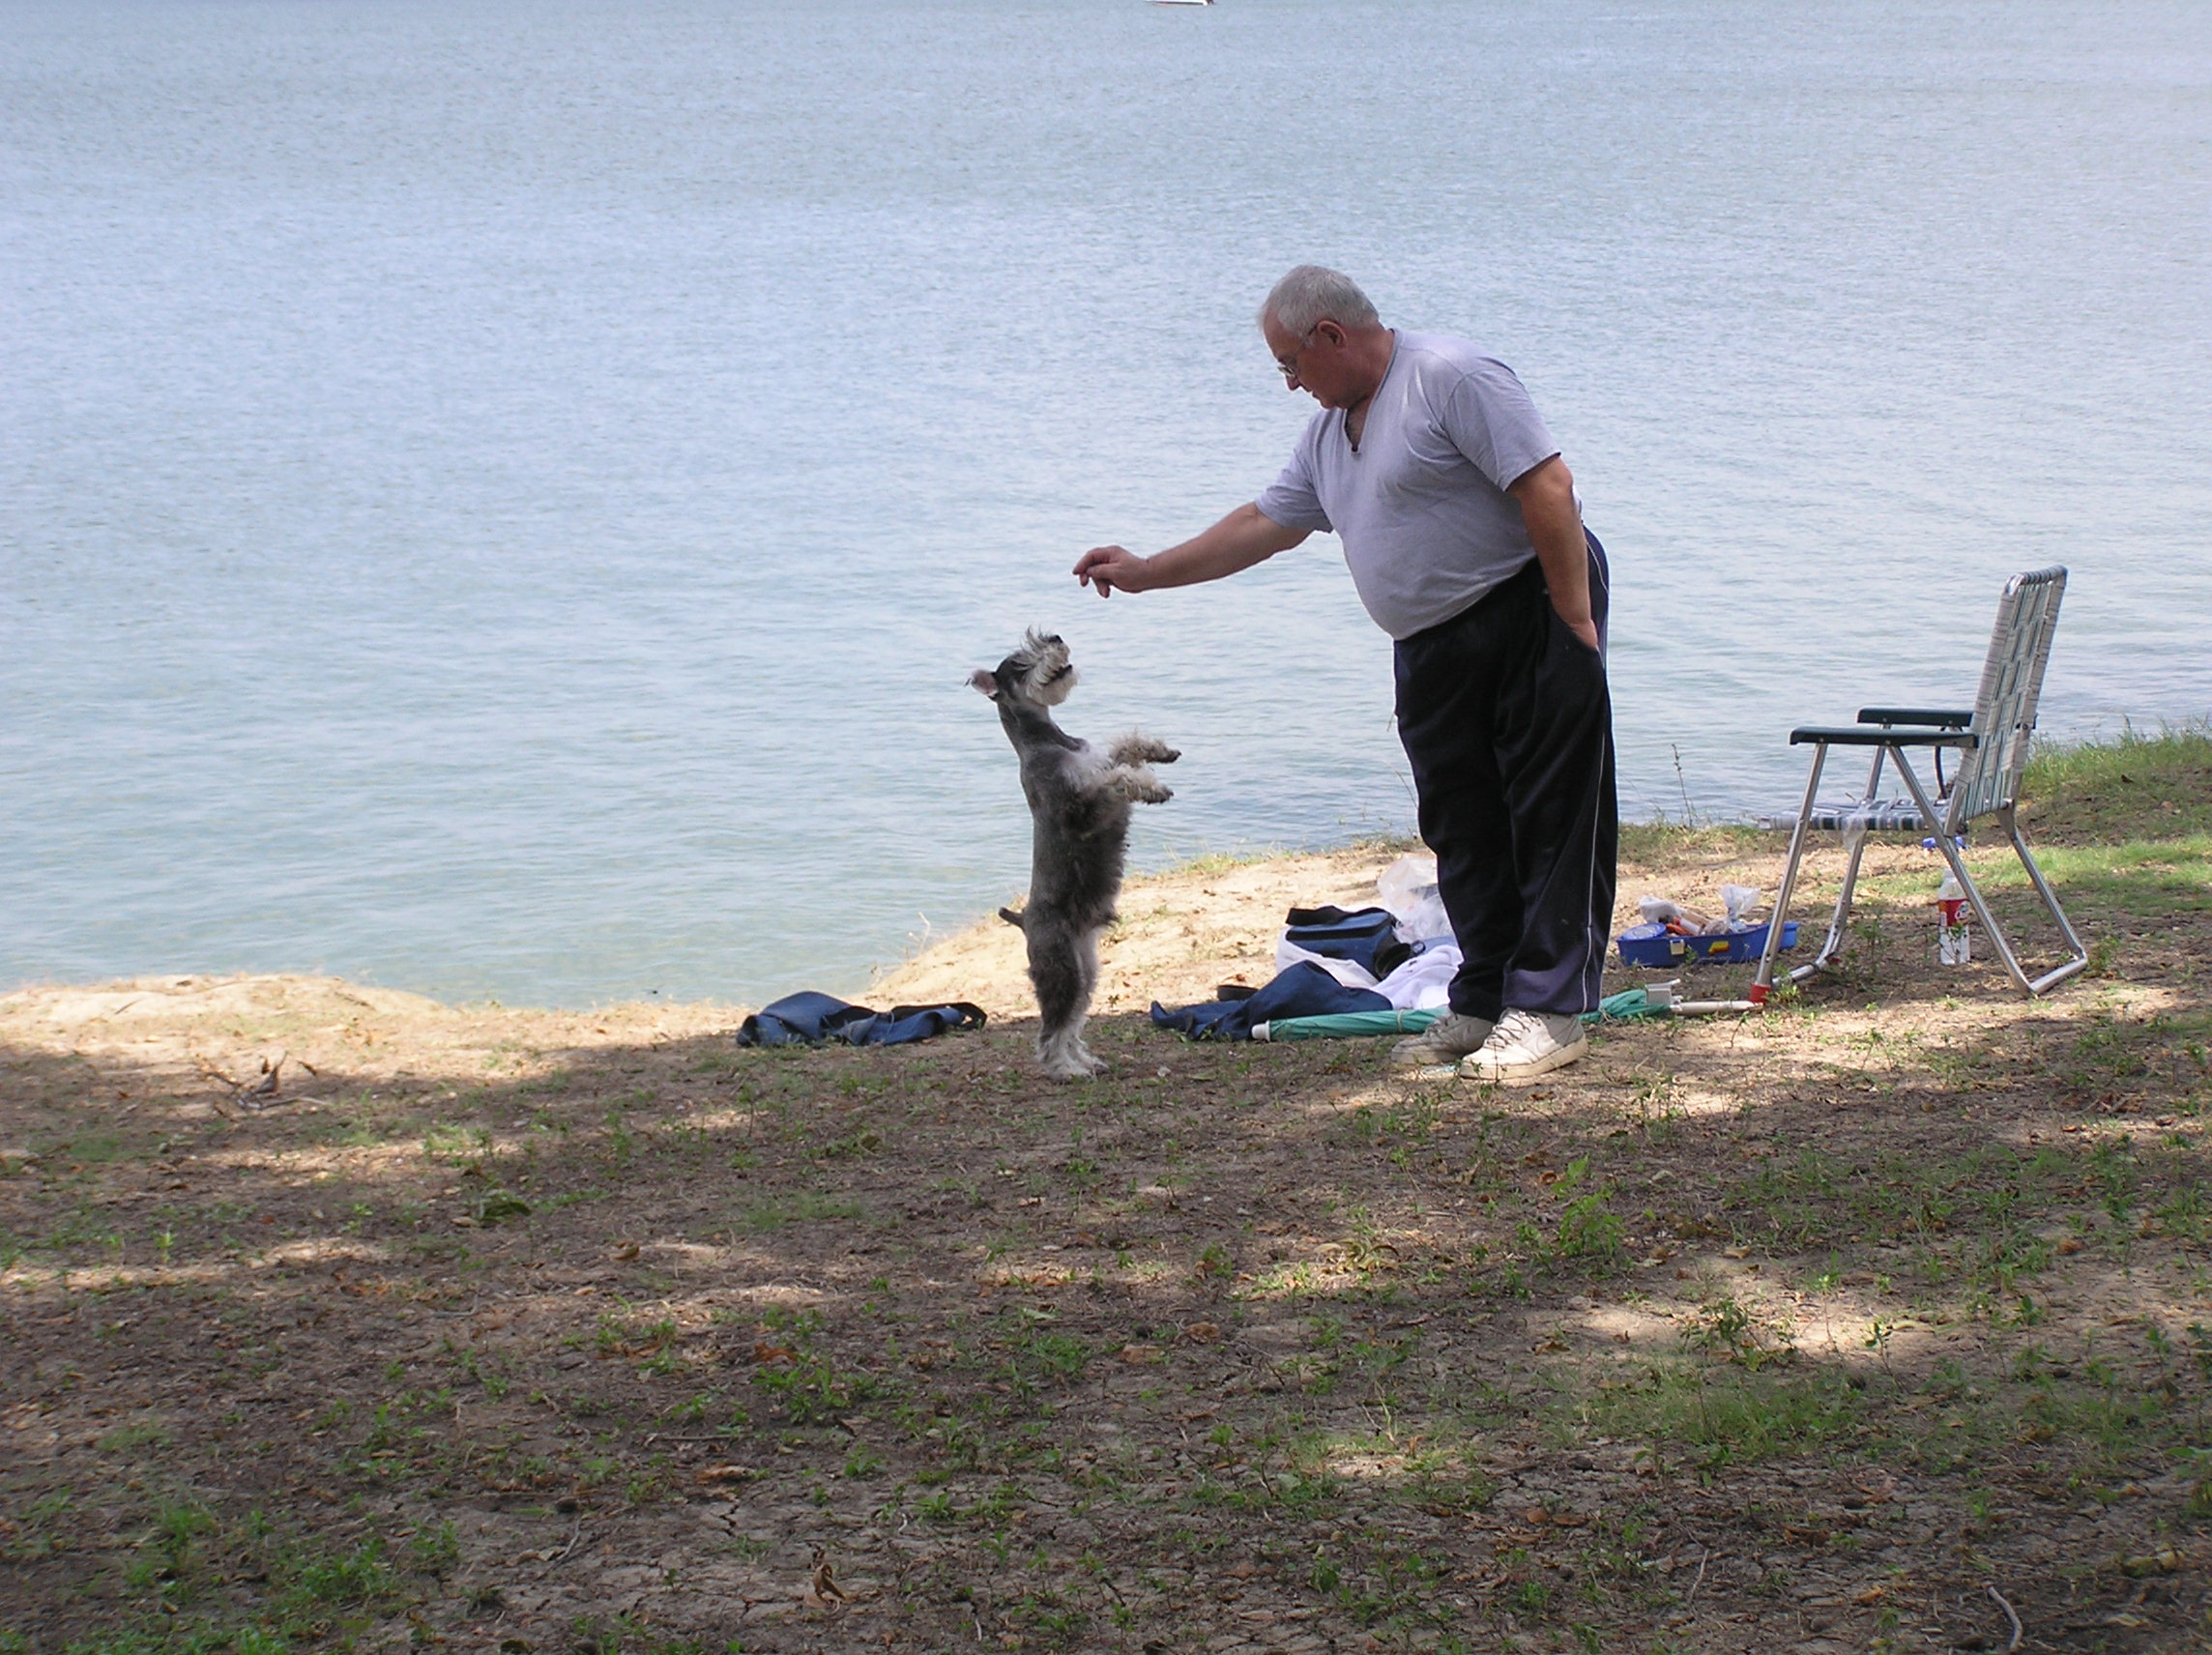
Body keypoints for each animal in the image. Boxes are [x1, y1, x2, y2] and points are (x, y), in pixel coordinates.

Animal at [969, 628, 1177, 1079]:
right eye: (1021, 661)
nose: (1056, 637)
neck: (1050, 741)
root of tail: (1023, 921)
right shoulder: (1079, 810)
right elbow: (1118, 778)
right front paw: (1153, 787)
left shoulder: (1098, 760)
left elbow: (1123, 749)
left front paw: (1159, 751)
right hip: (1061, 968)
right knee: (1050, 1030)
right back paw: (1064, 1070)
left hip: (1087, 971)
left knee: (1072, 1023)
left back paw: (1085, 1061)